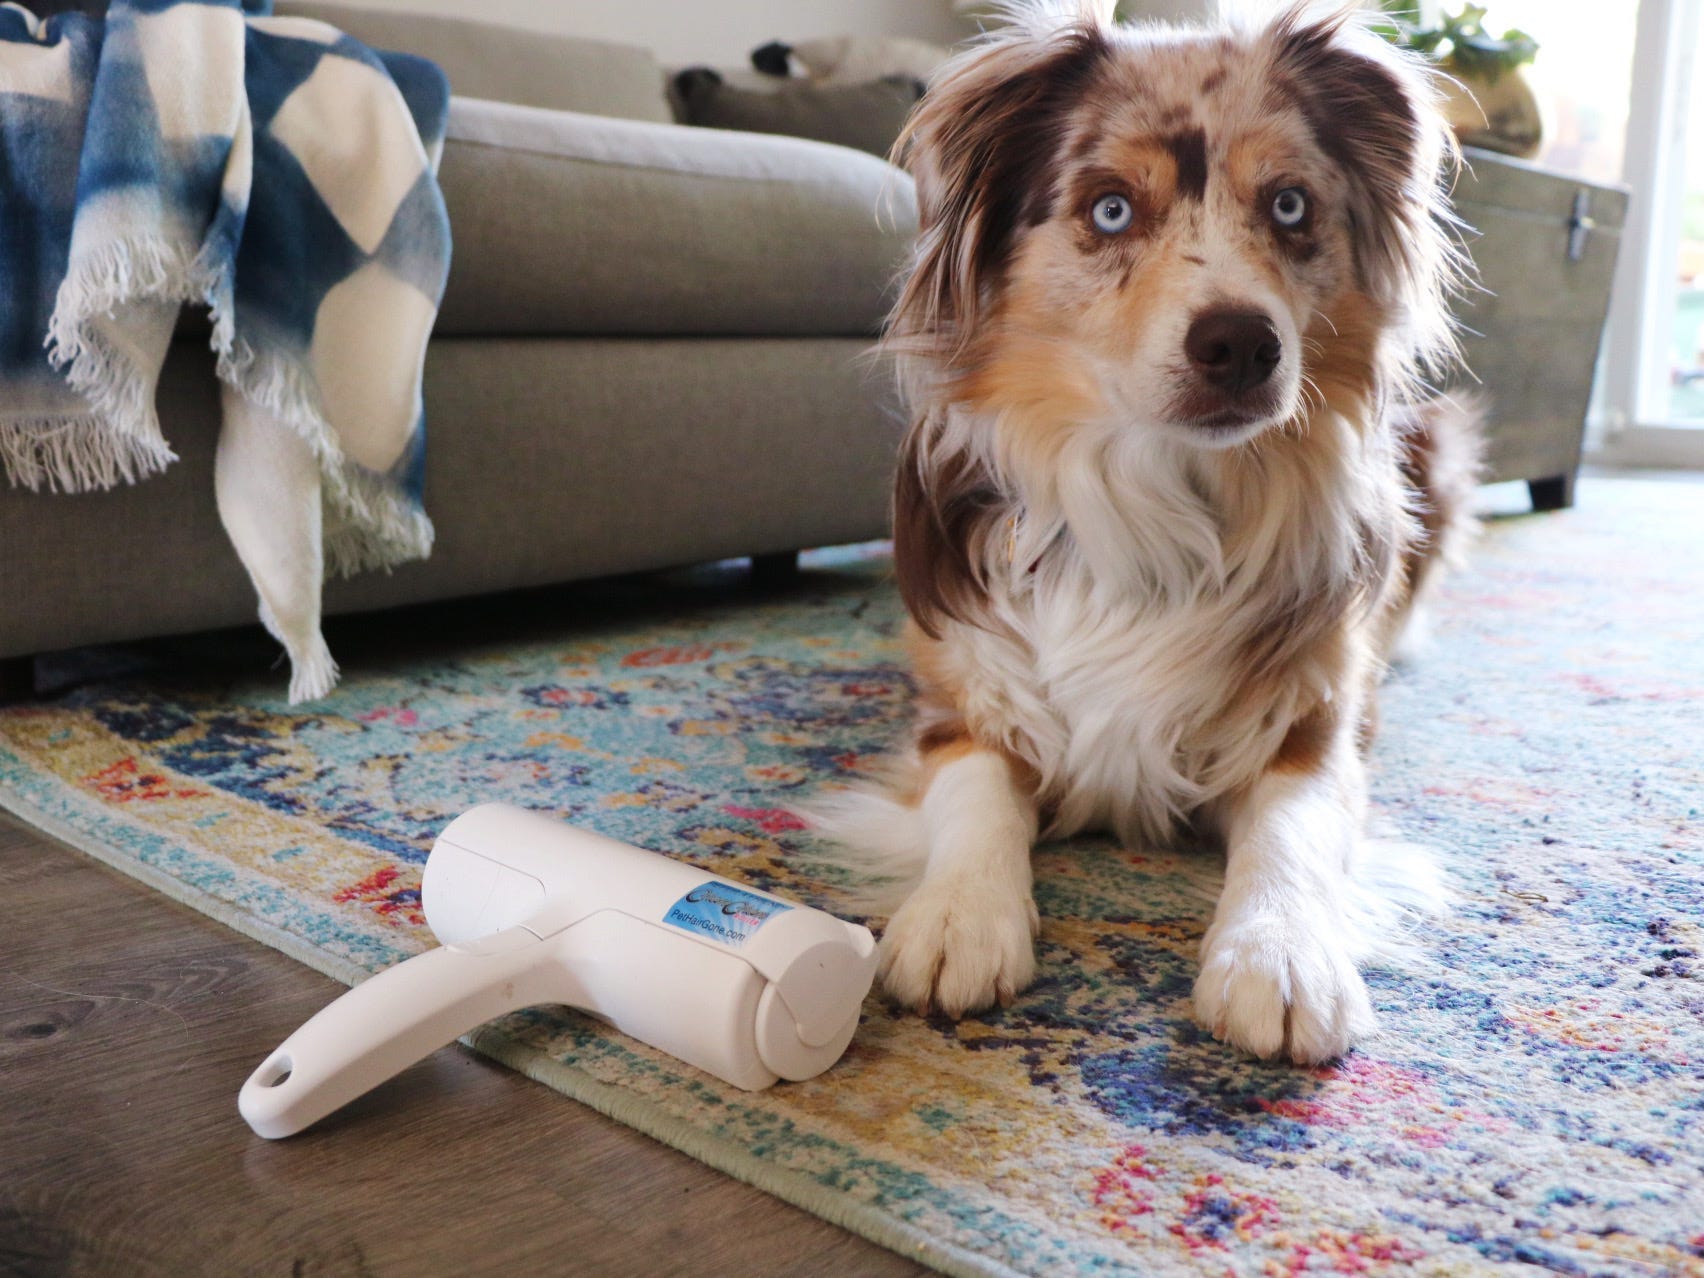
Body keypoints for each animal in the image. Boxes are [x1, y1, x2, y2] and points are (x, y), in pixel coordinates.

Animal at [811, 0, 1479, 1063]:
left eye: (1290, 207)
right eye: (1112, 209)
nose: (1242, 344)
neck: (1155, 495)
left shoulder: (1313, 723)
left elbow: (1293, 827)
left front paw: (1282, 955)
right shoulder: (963, 694)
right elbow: (974, 793)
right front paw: (958, 918)